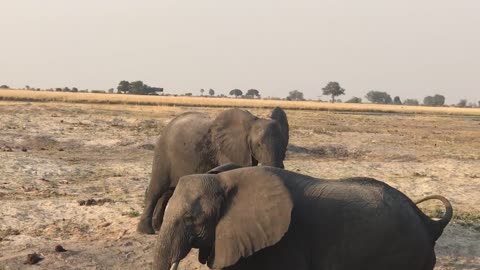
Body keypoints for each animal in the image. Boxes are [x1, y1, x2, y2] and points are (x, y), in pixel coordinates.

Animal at [137, 107, 290, 234]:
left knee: (168, 192)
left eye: (285, 144)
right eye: (258, 145)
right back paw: (146, 231)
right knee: (157, 189)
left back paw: (159, 227)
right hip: (163, 153)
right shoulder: (226, 150)